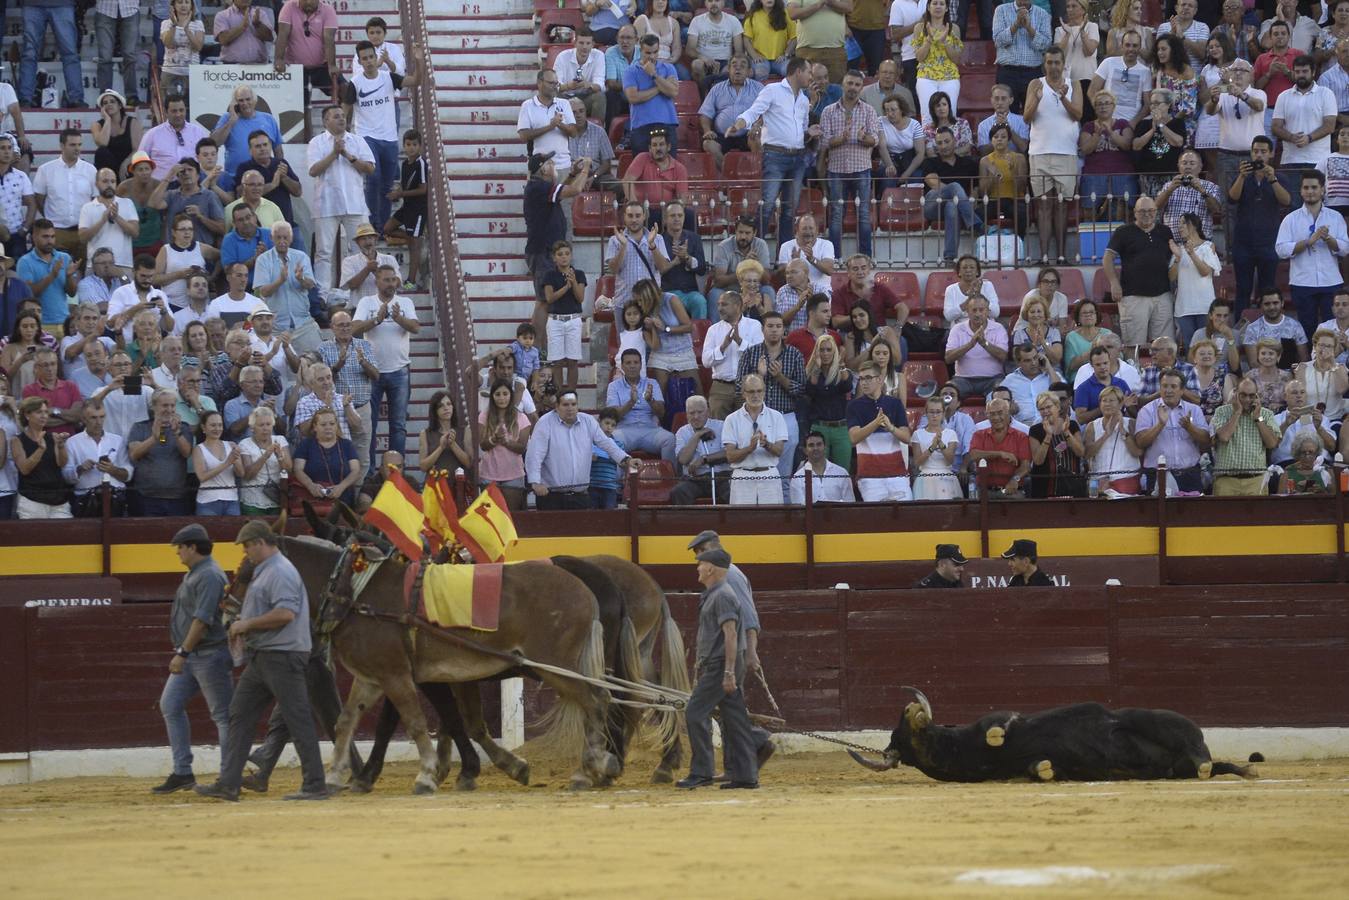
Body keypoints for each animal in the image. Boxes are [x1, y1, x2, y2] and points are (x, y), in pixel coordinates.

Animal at [241, 531, 617, 793]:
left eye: (249, 572)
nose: (233, 614)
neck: (359, 594)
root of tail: (584, 589)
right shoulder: (388, 677)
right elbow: (354, 721)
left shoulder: (400, 675)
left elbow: (419, 721)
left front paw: (428, 773)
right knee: (599, 702)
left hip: (555, 667)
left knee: (596, 701)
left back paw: (591, 769)